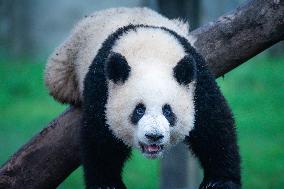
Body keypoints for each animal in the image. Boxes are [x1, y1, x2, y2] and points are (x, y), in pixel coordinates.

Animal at [44, 7, 240, 189]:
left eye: (168, 111)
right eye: (139, 110)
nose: (154, 136)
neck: (149, 52)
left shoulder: (197, 82)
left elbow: (215, 126)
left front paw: (220, 181)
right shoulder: (102, 87)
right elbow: (99, 138)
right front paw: (106, 184)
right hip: (69, 58)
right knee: (58, 78)